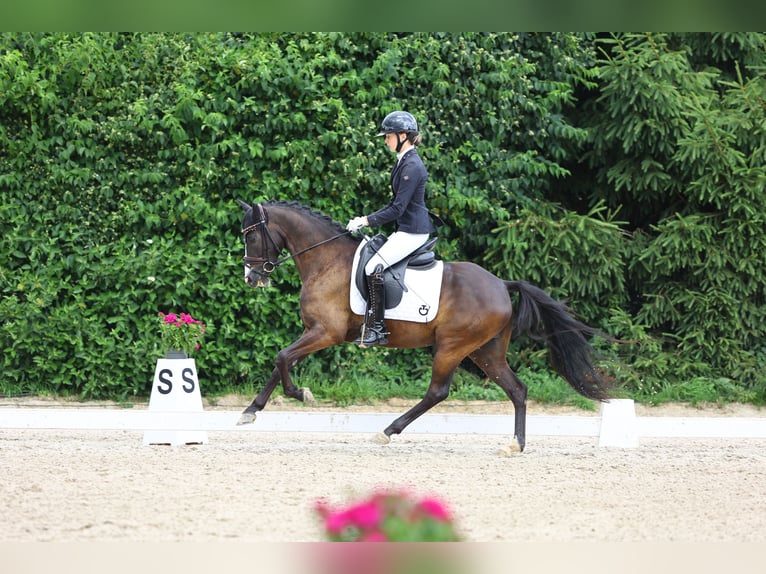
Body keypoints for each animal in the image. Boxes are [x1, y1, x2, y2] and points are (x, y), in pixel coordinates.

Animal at [237, 200, 616, 452]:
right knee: (517, 390)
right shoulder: (314, 332)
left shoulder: (325, 333)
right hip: (486, 351)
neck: (326, 261)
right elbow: (281, 362)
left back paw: (388, 431)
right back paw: (515, 444)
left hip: (453, 347)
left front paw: (301, 394)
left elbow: (282, 359)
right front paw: (250, 412)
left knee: (438, 391)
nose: (251, 277)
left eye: (251, 237)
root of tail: (502, 284)